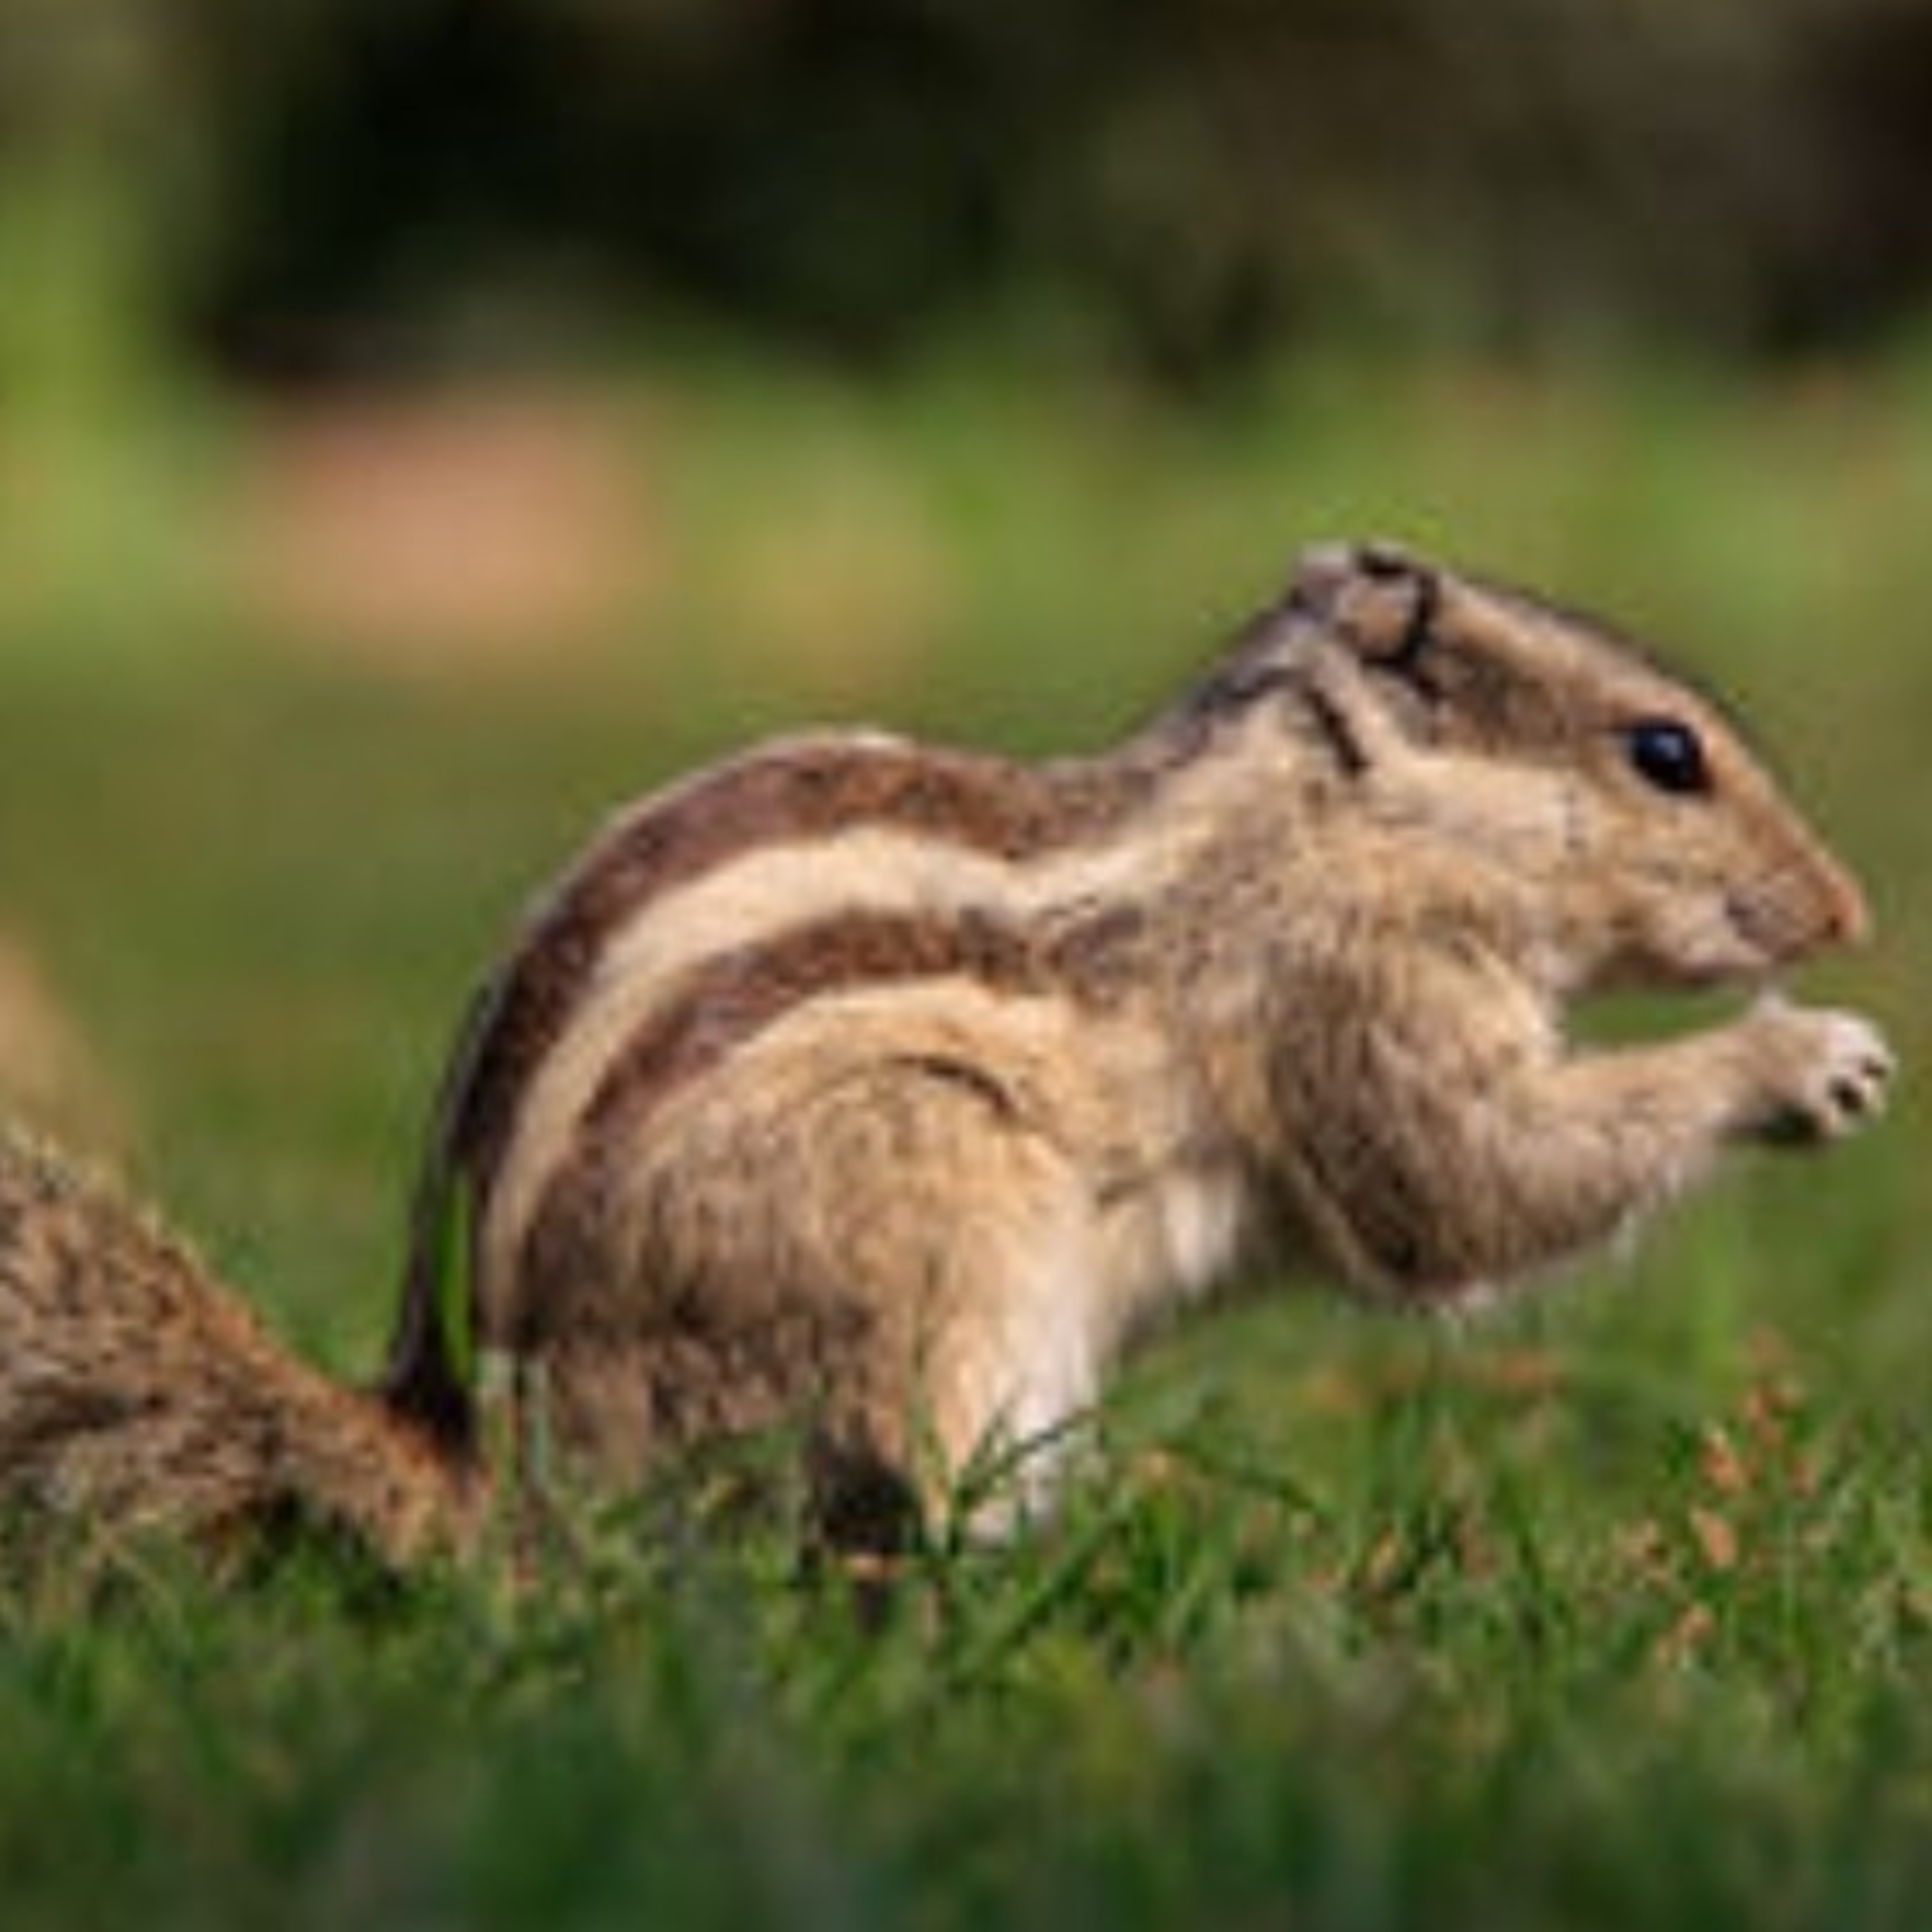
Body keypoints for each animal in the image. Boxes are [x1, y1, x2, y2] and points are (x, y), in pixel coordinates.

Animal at [0, 540, 1895, 1562]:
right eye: (1664, 753)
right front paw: (1802, 1064)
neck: (1330, 809)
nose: (1851, 908)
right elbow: (1466, 1180)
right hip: (918, 1231)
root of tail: (473, 1459)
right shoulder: (1355, 991)